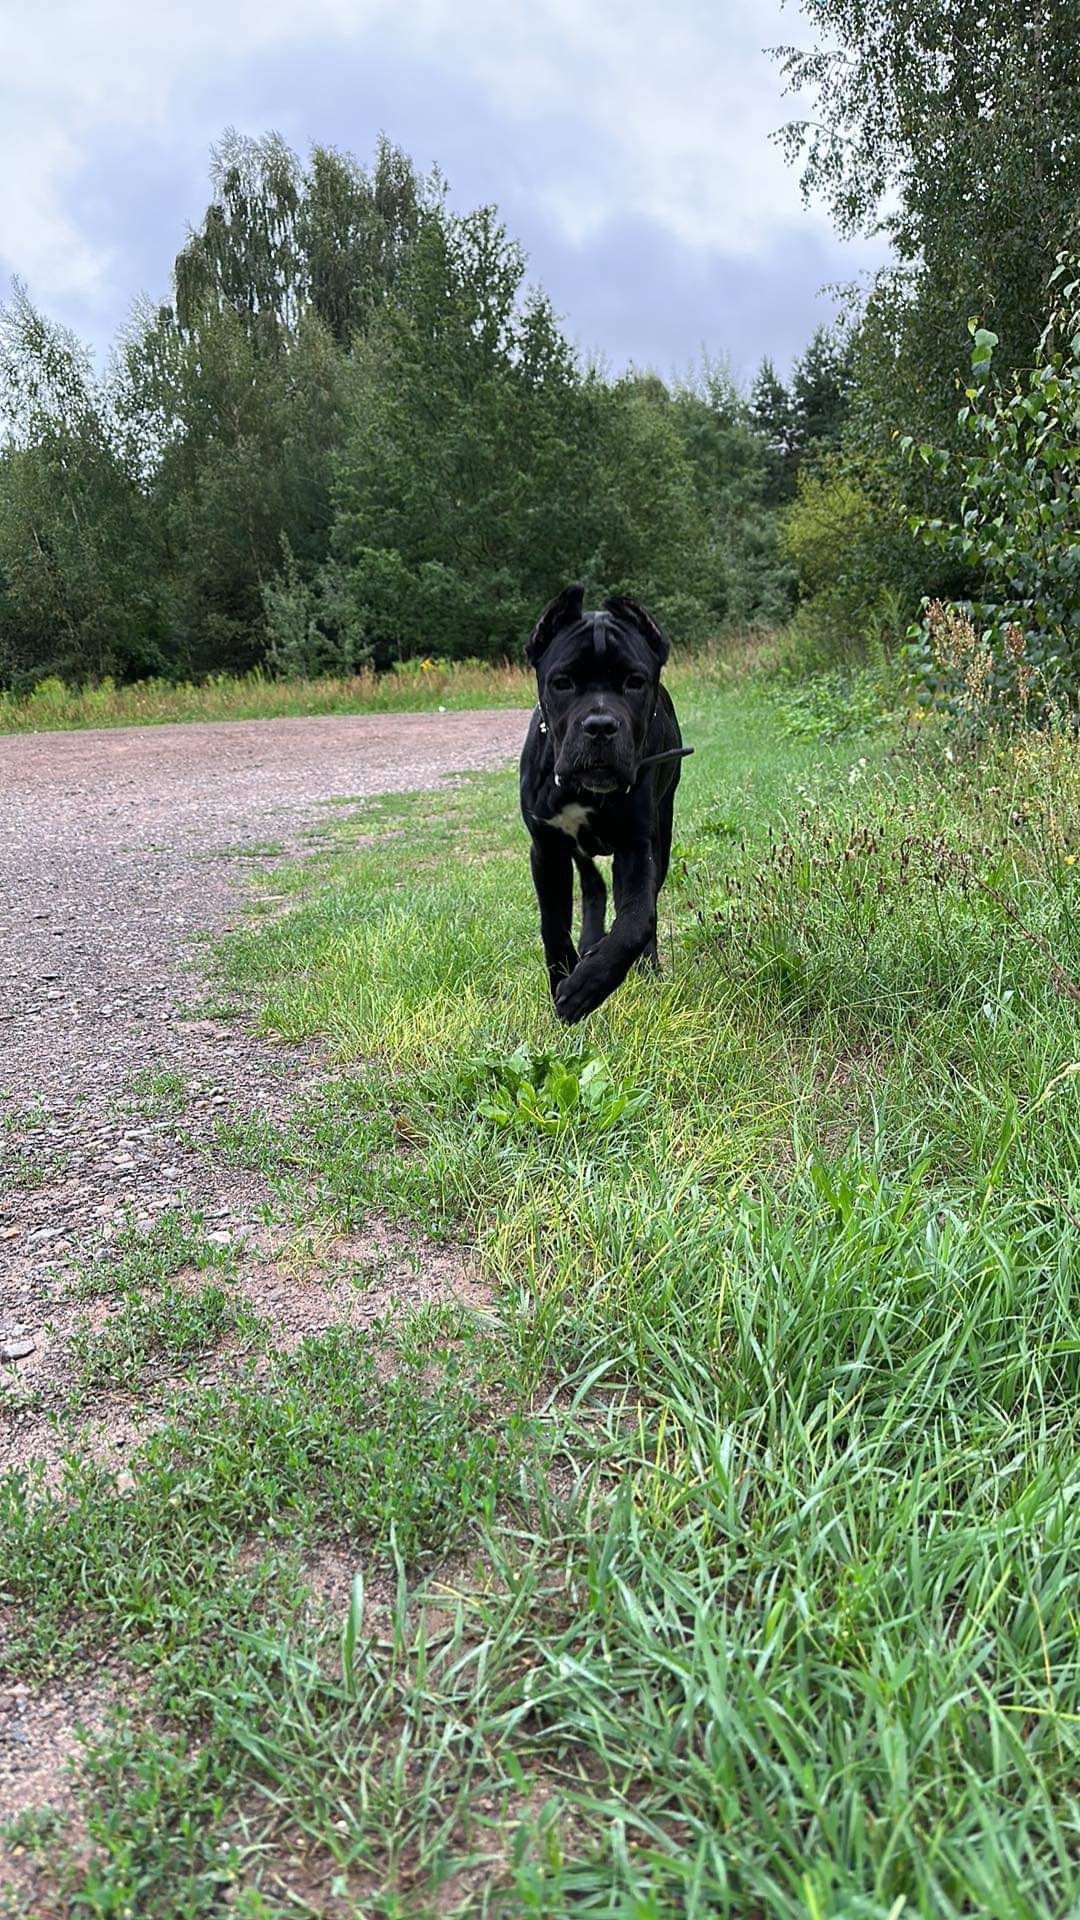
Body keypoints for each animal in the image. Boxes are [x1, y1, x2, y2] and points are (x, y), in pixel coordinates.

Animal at [518, 583, 680, 1029]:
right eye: (562, 682)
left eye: (634, 682)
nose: (601, 726)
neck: (585, 791)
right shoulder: (547, 848)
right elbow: (553, 924)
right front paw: (564, 977)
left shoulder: (637, 847)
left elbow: (636, 920)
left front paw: (587, 986)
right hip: (575, 846)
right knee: (592, 884)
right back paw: (589, 941)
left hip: (663, 827)